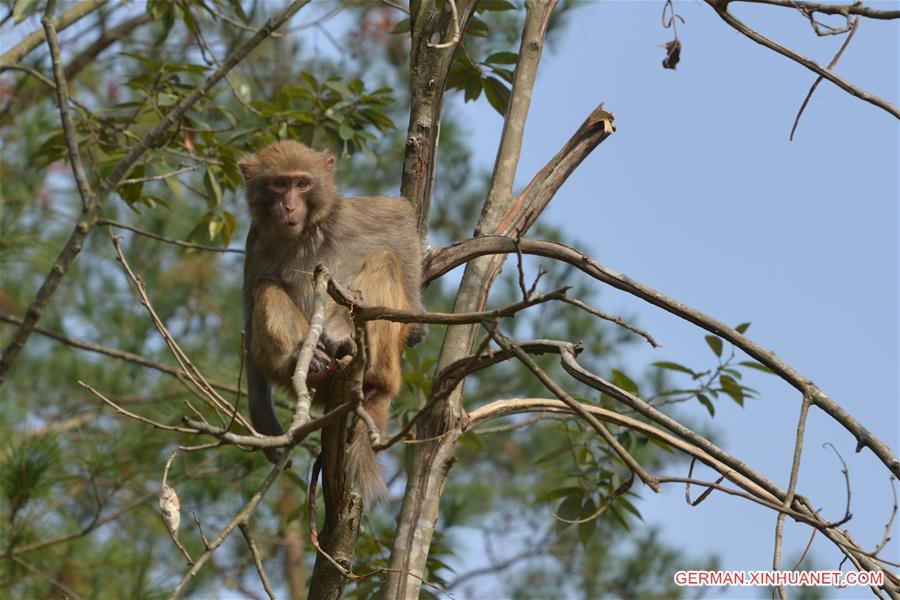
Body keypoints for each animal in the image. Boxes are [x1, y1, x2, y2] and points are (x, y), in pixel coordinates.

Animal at [239, 141, 422, 502]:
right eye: (279, 184)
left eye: (302, 183)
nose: (289, 206)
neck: (307, 233)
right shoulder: (256, 240)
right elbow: (250, 309)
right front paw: (263, 418)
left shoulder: (346, 216)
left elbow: (400, 219)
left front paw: (416, 323)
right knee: (265, 286)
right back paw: (303, 362)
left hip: (385, 360)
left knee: (385, 259)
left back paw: (347, 343)